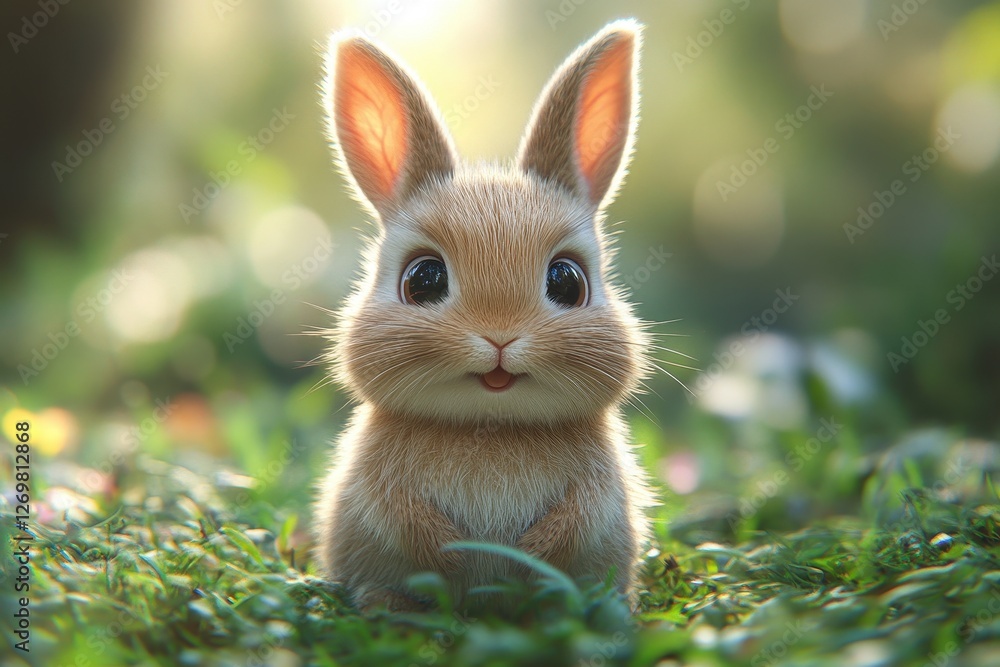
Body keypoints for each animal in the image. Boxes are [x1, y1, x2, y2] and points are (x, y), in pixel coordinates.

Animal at [314, 19, 656, 612]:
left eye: (567, 282)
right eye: (423, 279)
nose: (500, 339)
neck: (490, 426)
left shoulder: (597, 489)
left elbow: (578, 514)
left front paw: (529, 558)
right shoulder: (382, 487)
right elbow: (404, 515)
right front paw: (454, 557)